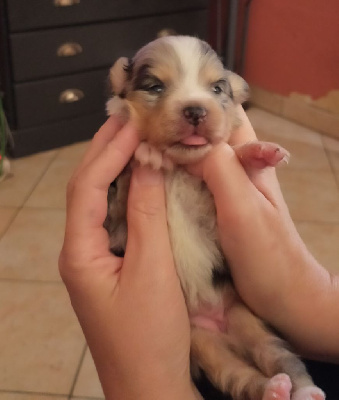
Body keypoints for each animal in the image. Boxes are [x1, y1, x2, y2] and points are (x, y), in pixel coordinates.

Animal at [104, 36, 326, 398]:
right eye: (155, 87)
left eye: (217, 89)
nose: (196, 109)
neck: (178, 169)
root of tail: (219, 323)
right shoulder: (117, 232)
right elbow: (121, 193)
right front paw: (146, 154)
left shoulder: (217, 209)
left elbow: (236, 161)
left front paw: (258, 153)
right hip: (202, 342)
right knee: (239, 376)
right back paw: (272, 389)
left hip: (248, 319)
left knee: (282, 359)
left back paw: (305, 390)